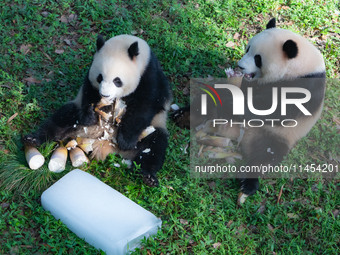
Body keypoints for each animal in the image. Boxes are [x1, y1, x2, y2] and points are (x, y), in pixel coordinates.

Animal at [23, 33, 171, 186]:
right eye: (100, 78)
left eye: (117, 80)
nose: (105, 95)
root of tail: (104, 143)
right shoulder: (90, 77)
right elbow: (88, 92)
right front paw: (91, 114)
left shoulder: (151, 76)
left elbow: (145, 106)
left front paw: (126, 140)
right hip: (76, 119)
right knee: (61, 119)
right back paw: (33, 139)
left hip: (152, 128)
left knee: (155, 145)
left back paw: (148, 177)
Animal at [174, 18, 326, 201]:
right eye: (247, 49)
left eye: (258, 58)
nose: (240, 66)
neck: (301, 66)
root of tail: (237, 136)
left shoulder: (307, 85)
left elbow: (273, 109)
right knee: (206, 105)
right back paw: (183, 116)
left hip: (274, 135)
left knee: (265, 157)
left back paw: (247, 183)